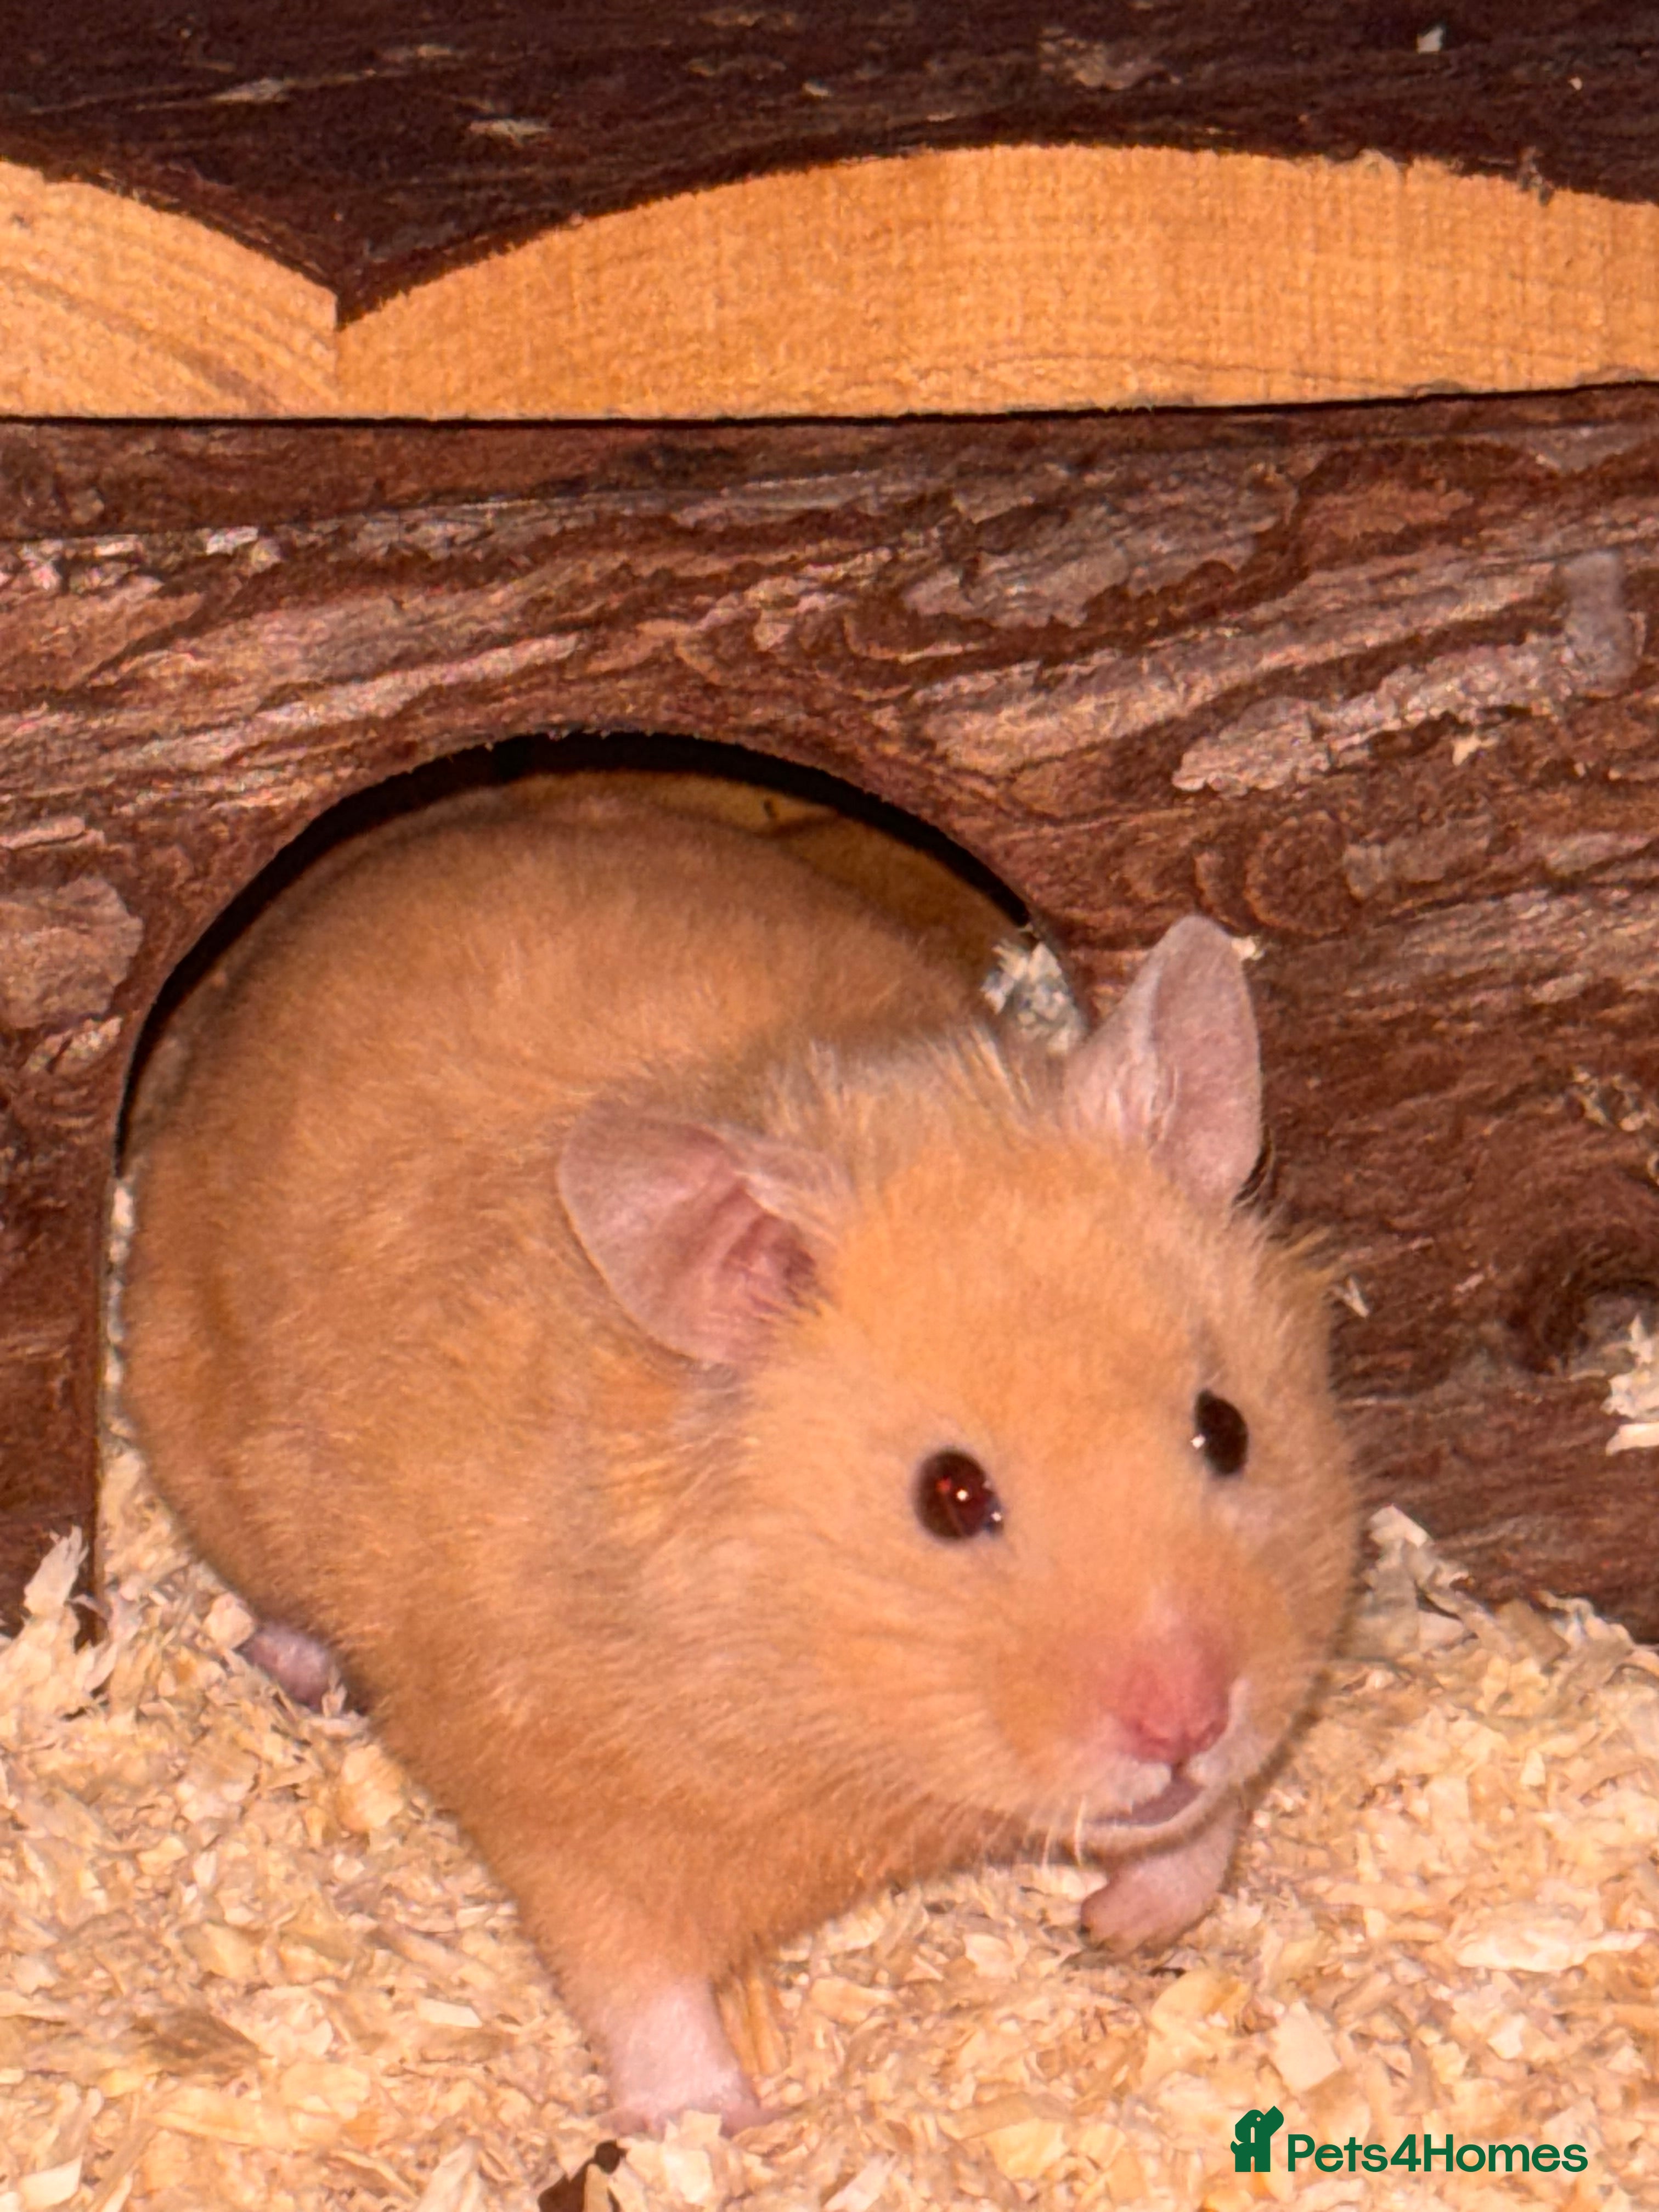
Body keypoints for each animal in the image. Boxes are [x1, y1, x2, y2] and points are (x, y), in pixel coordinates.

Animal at [121, 784, 1355, 2132]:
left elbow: (1204, 1828)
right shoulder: (567, 1816)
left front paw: (1115, 1921)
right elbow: (637, 1988)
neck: (853, 1736)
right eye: (950, 1496)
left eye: (1225, 1428)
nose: (1184, 1719)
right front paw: (720, 2127)